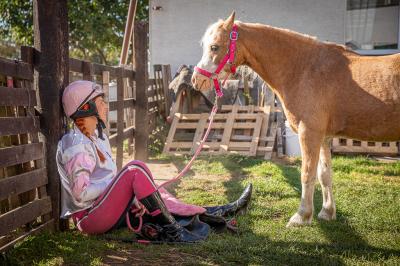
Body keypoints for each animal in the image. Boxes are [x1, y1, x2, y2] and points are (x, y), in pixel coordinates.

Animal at [191, 11, 400, 225]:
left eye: (214, 47)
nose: (196, 80)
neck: (304, 69)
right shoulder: (324, 136)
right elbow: (324, 174)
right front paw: (327, 212)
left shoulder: (309, 133)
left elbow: (307, 174)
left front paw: (302, 216)